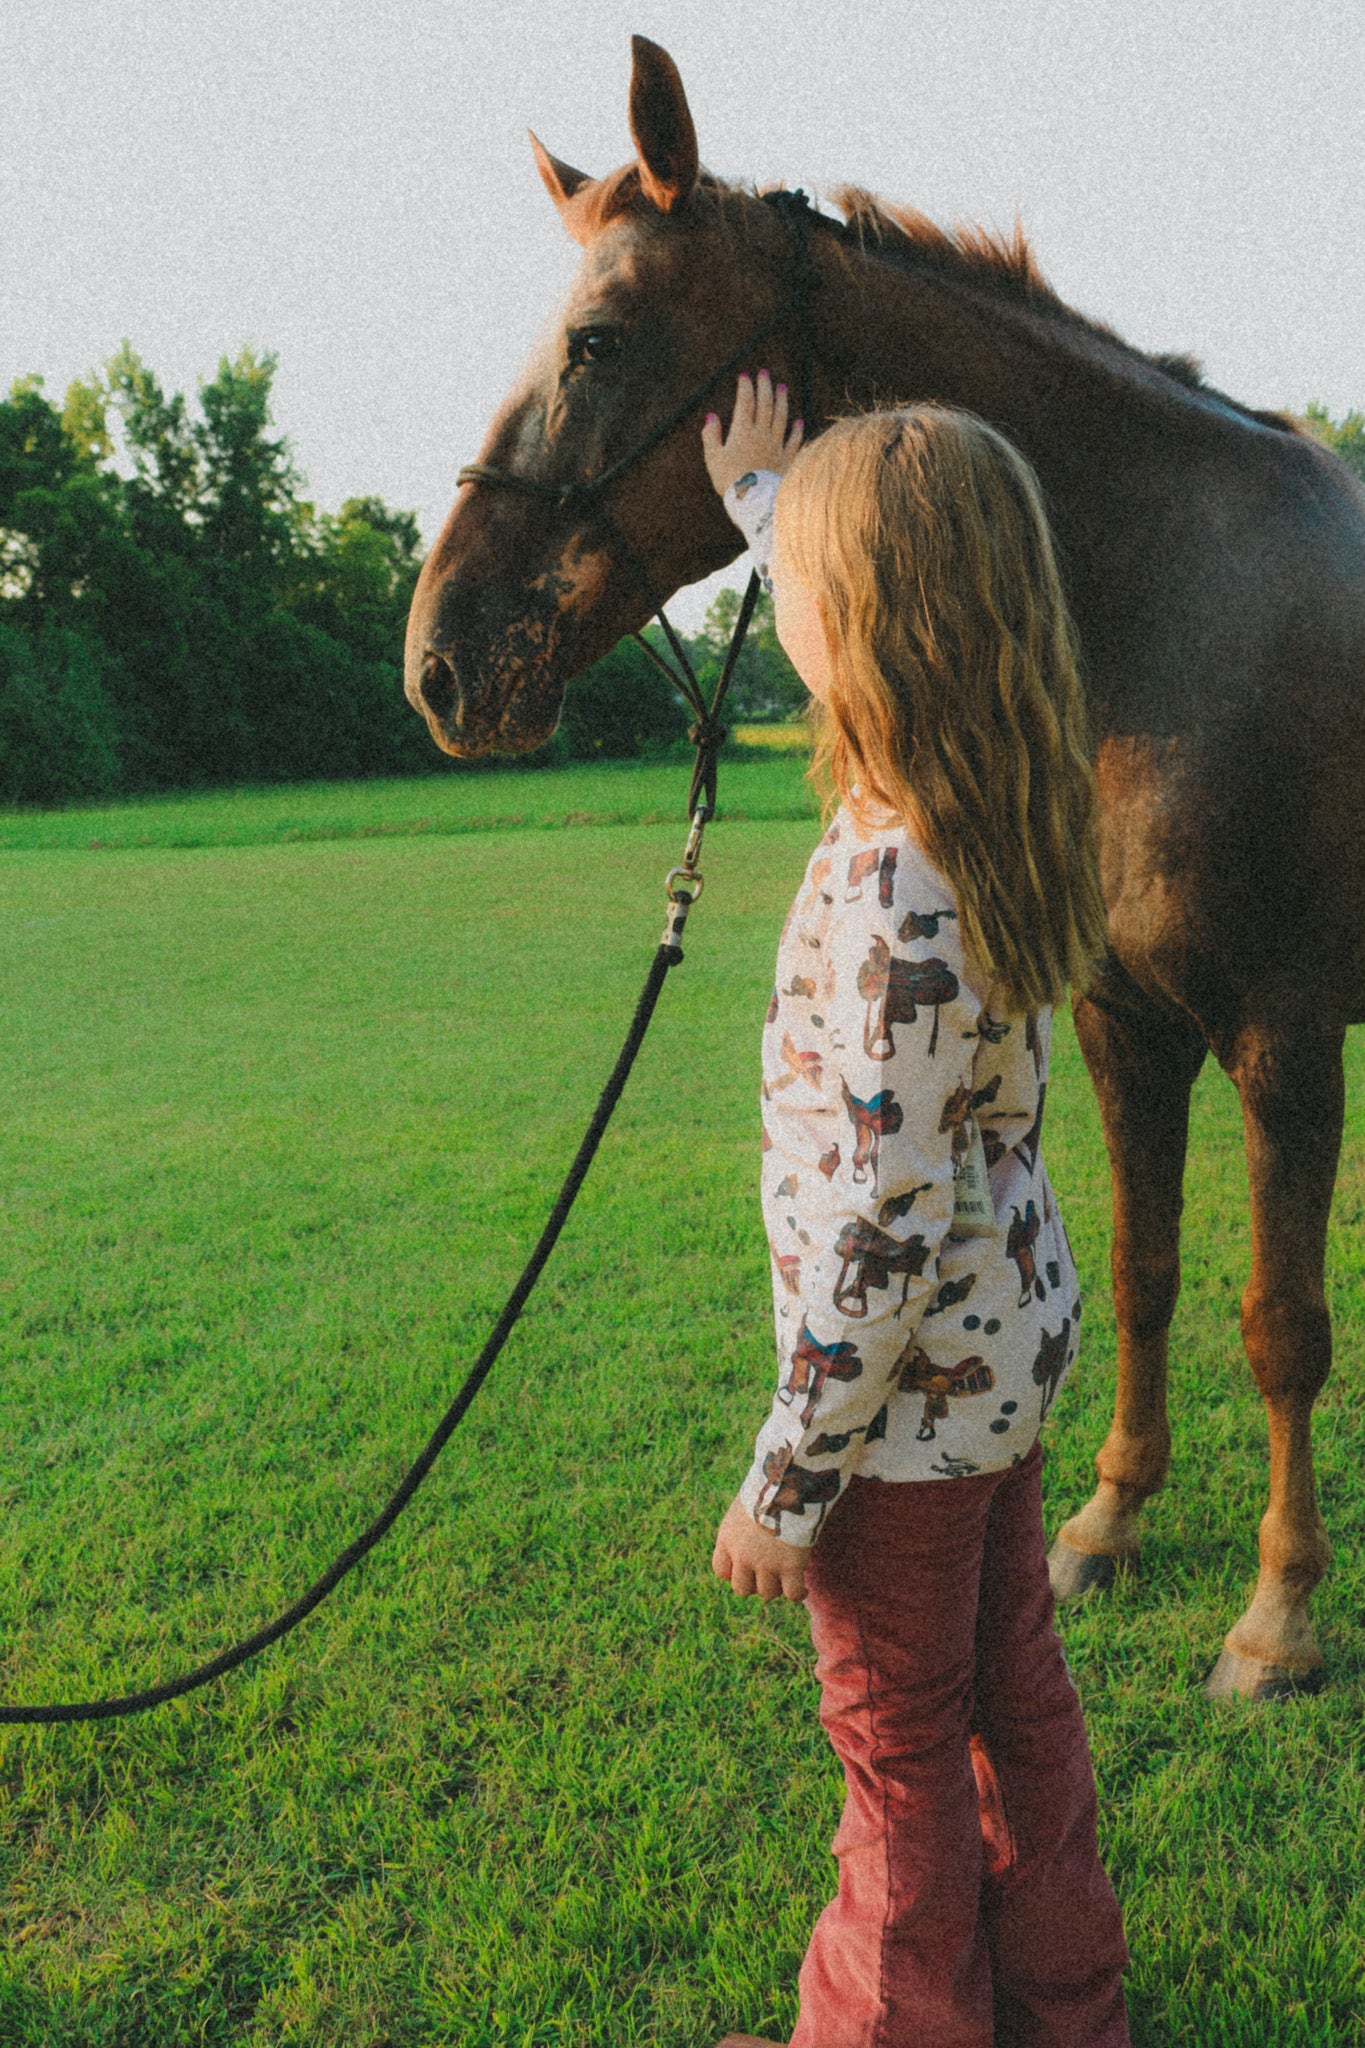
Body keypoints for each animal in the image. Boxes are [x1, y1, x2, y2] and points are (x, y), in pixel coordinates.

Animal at [405, 36, 1365, 1695]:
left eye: (595, 341)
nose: (442, 664)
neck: (1184, 608)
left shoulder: (1283, 1036)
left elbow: (1280, 1325)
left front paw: (1278, 1611)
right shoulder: (1125, 1024)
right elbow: (1145, 1275)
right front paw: (1110, 1519)